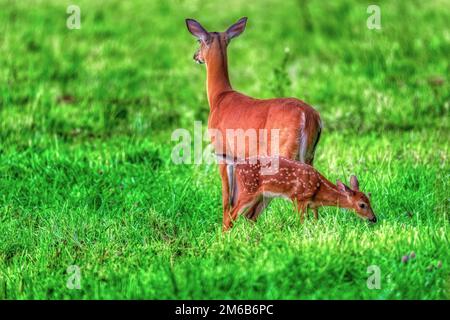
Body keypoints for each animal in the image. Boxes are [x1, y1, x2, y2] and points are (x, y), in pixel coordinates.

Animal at [186, 18, 324, 228]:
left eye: (198, 41)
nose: (195, 56)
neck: (219, 97)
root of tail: (308, 116)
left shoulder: (223, 154)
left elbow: (226, 198)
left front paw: (225, 228)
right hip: (309, 156)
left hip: (282, 155)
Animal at [218, 155, 376, 230]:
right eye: (362, 205)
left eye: (370, 200)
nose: (374, 218)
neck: (319, 189)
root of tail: (236, 166)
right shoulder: (299, 198)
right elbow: (302, 222)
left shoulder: (311, 205)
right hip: (248, 190)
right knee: (231, 214)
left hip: (263, 196)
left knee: (249, 217)